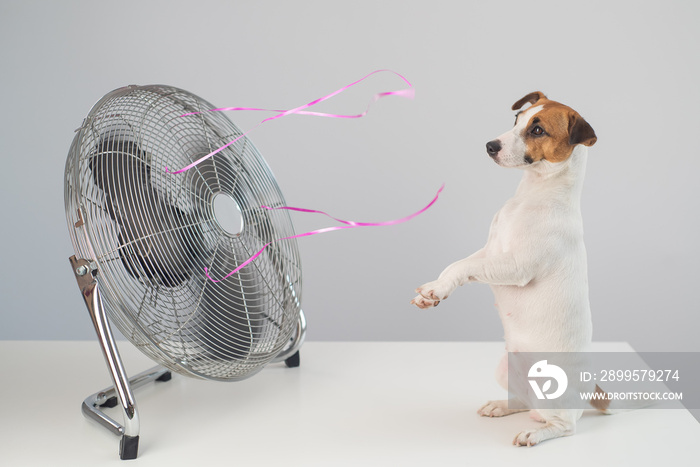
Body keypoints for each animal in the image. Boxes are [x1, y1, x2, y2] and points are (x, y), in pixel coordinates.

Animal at [412, 91, 600, 446]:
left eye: (537, 130)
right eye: (517, 120)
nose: (490, 145)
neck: (533, 194)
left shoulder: (514, 266)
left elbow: (464, 268)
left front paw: (436, 290)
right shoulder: (491, 250)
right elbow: (460, 263)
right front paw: (433, 290)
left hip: (553, 395)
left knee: (565, 425)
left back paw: (534, 433)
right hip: (505, 370)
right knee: (523, 401)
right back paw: (502, 406)